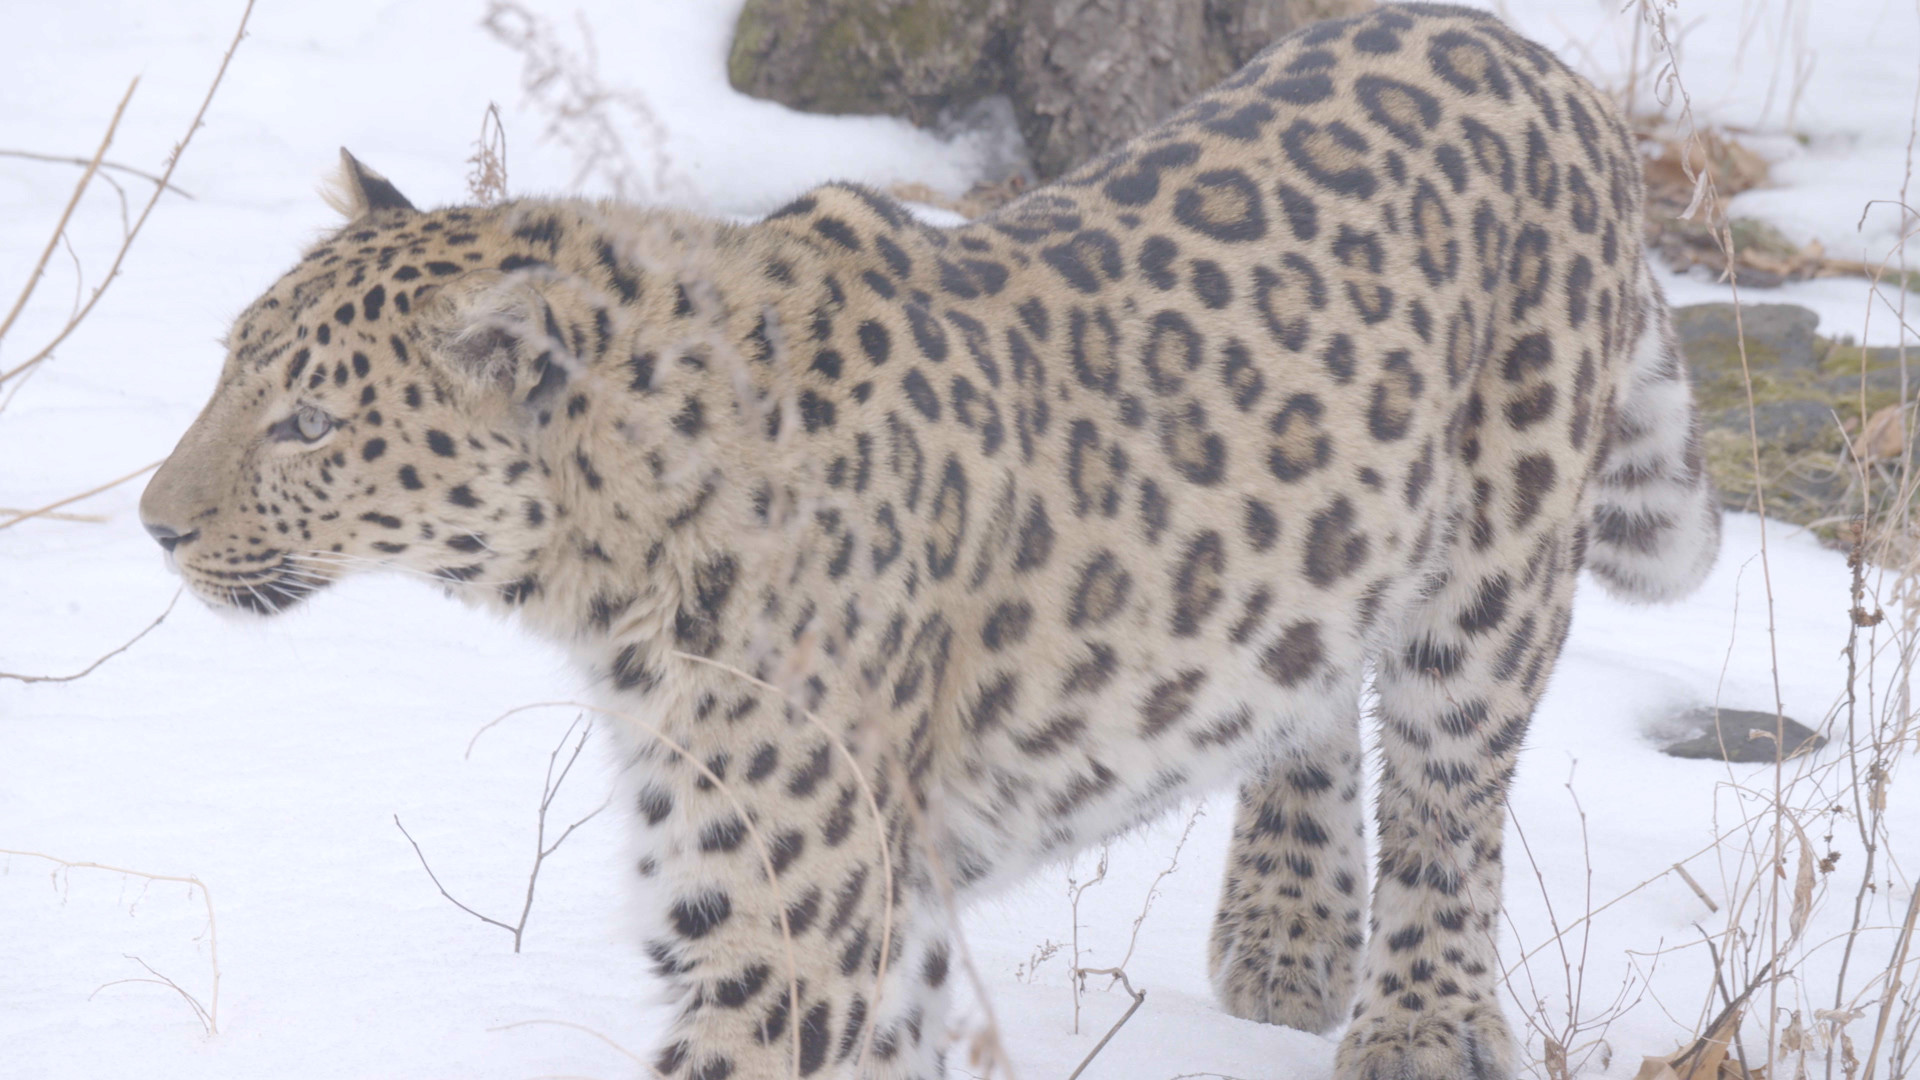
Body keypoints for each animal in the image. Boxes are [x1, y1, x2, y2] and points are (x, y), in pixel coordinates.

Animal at [139, 4, 1720, 1078]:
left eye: (309, 426)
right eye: (228, 371)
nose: (155, 526)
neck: (604, 575)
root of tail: (1526, 50)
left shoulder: (788, 927)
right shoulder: (845, 916)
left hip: (1497, 571)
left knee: (1454, 798)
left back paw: (1417, 1027)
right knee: (1313, 679)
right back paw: (1285, 933)